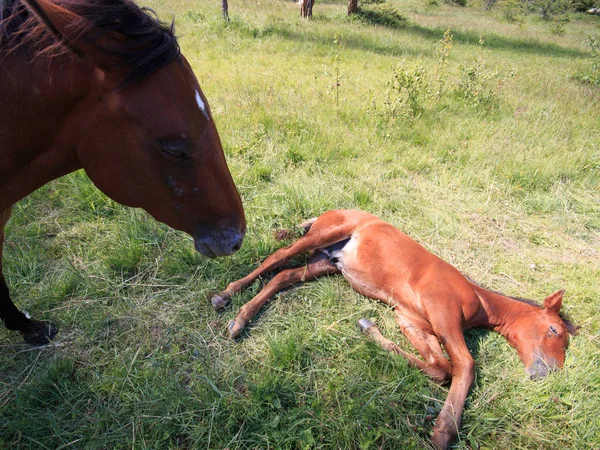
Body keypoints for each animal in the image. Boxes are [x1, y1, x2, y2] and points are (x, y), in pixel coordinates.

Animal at [213, 211, 580, 450]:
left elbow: (438, 367)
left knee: (283, 276)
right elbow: (464, 365)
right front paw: (444, 431)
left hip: (326, 263)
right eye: (553, 330)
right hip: (322, 236)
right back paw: (225, 297)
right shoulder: (442, 312)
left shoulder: (410, 320)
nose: (549, 372)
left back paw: (241, 316)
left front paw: (368, 328)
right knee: (276, 258)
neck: (476, 298)